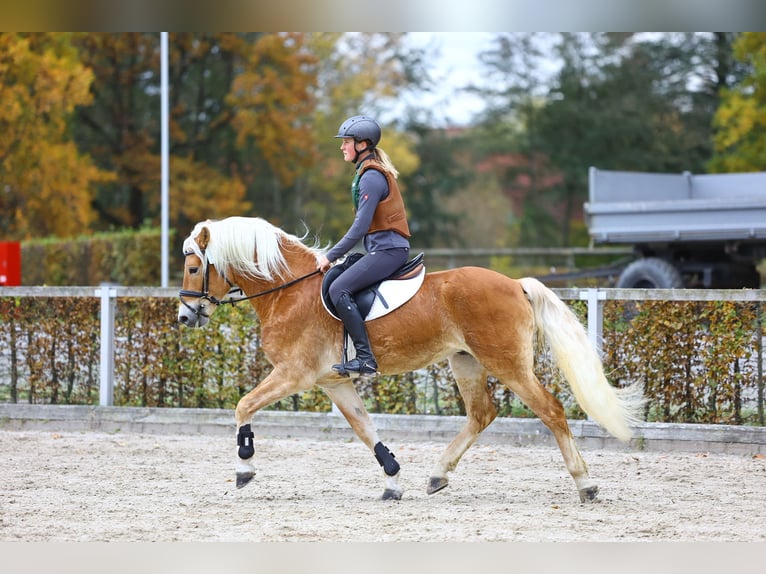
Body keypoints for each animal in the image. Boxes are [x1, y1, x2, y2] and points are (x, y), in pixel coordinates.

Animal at [177, 216, 644, 504]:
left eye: (194, 267)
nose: (185, 316)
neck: (289, 291)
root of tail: (515, 283)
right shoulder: (333, 381)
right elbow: (365, 429)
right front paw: (393, 479)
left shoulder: (295, 374)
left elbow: (243, 405)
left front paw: (244, 467)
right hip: (466, 362)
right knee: (481, 414)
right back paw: (437, 474)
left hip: (507, 363)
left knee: (550, 409)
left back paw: (585, 484)